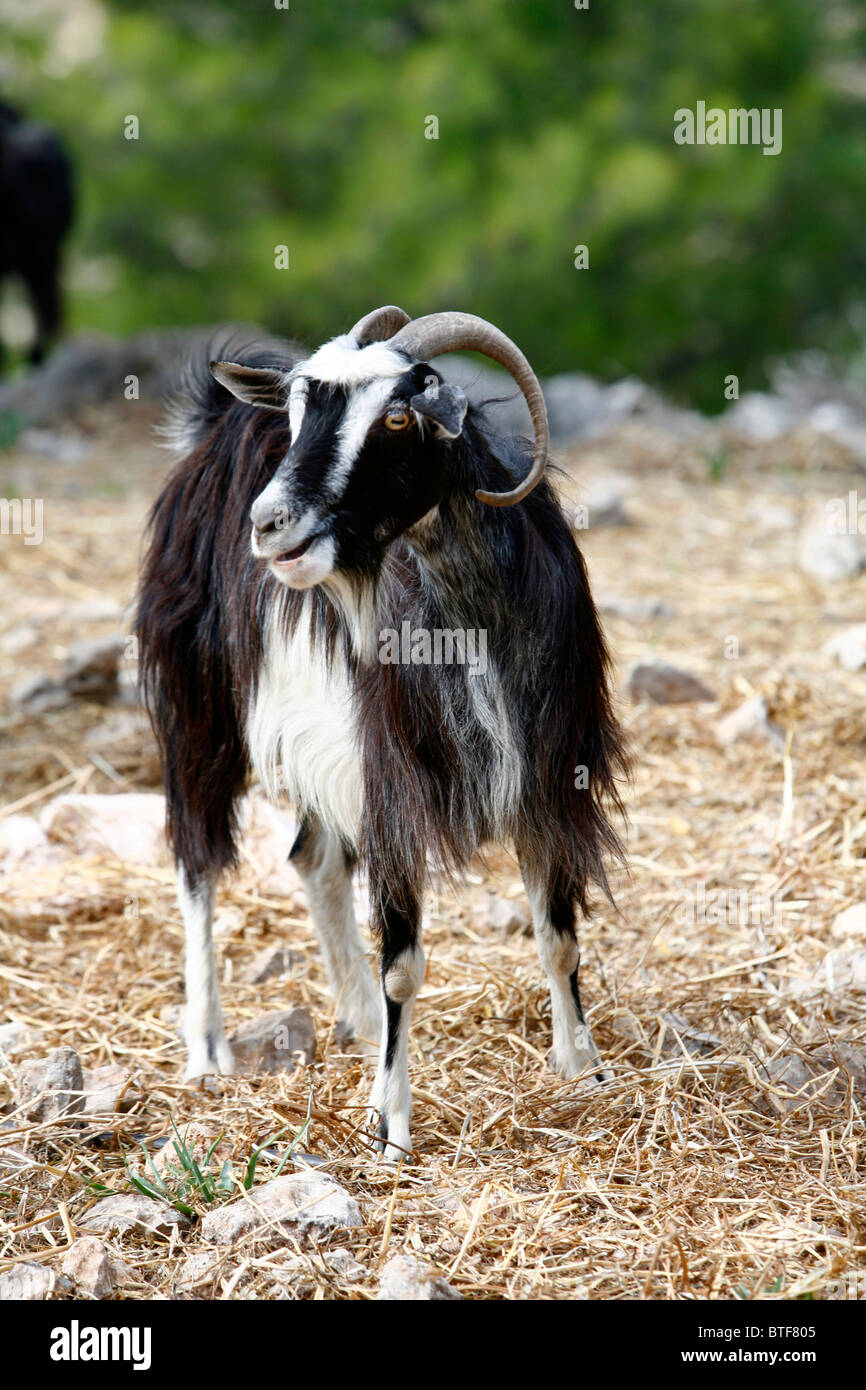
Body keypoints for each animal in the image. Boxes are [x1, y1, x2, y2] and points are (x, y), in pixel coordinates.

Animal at [135, 307, 625, 1162]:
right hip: (200, 705)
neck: (468, 610)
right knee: (196, 858)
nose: (268, 523)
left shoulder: (545, 773)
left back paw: (359, 1020)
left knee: (312, 858)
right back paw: (208, 1050)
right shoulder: (394, 782)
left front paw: (583, 1070)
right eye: (298, 411)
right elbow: (404, 963)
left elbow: (559, 934)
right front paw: (390, 1124)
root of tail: (215, 418)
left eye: (397, 417)